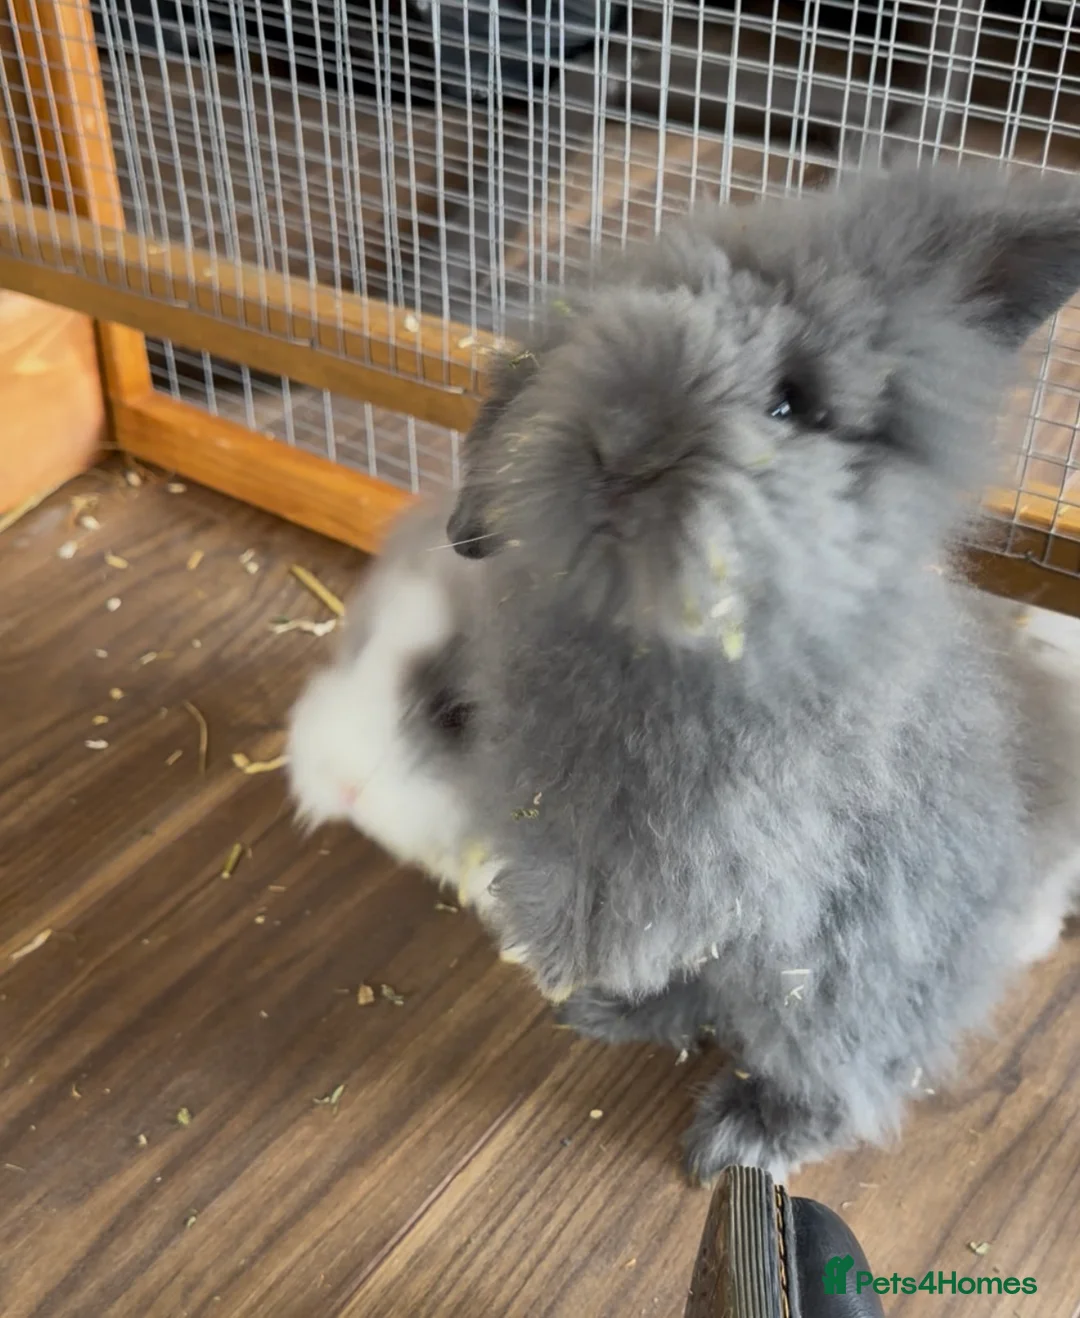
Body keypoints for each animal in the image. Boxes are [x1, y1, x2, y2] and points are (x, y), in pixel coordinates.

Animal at [439, 162, 1080, 1184]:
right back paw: (607, 1012)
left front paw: (574, 949)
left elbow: (647, 908)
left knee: (838, 1071)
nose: (620, 442)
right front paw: (573, 959)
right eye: (604, 326)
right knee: (705, 1000)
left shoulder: (730, 846)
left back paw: (739, 1140)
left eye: (791, 403)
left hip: (837, 984)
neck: (648, 638)